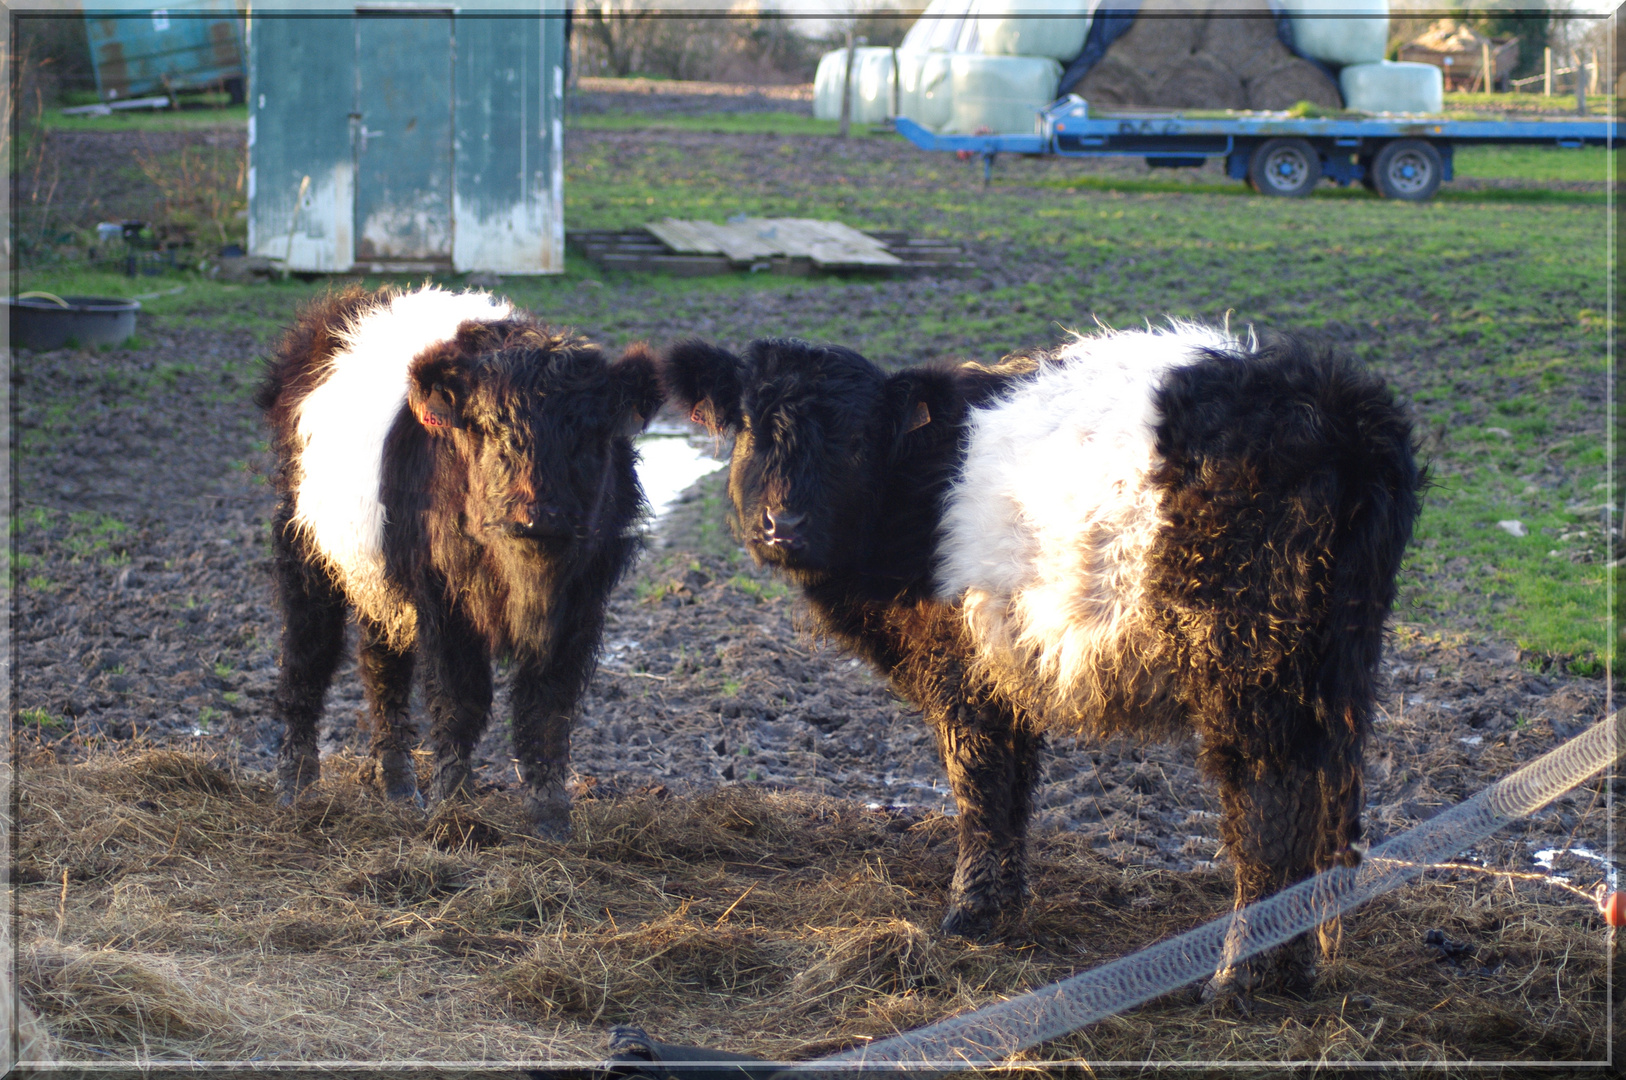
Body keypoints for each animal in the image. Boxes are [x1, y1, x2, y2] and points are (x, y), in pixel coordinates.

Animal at [256, 284, 656, 832]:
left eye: (587, 434)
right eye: (488, 428)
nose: (539, 516)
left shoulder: (582, 605)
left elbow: (548, 707)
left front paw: (550, 814)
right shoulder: (445, 598)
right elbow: (459, 698)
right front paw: (455, 805)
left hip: (380, 578)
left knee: (382, 671)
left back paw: (398, 787)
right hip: (305, 553)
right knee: (306, 661)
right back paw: (294, 788)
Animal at [660, 325, 1424, 1001]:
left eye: (852, 440)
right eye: (751, 427)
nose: (782, 525)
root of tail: (1334, 403)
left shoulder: (965, 672)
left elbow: (981, 788)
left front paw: (970, 916)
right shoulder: (1007, 667)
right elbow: (1012, 790)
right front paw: (998, 911)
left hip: (1250, 671)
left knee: (1269, 809)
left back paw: (1238, 977)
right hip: (1333, 672)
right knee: (1324, 807)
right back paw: (1297, 973)